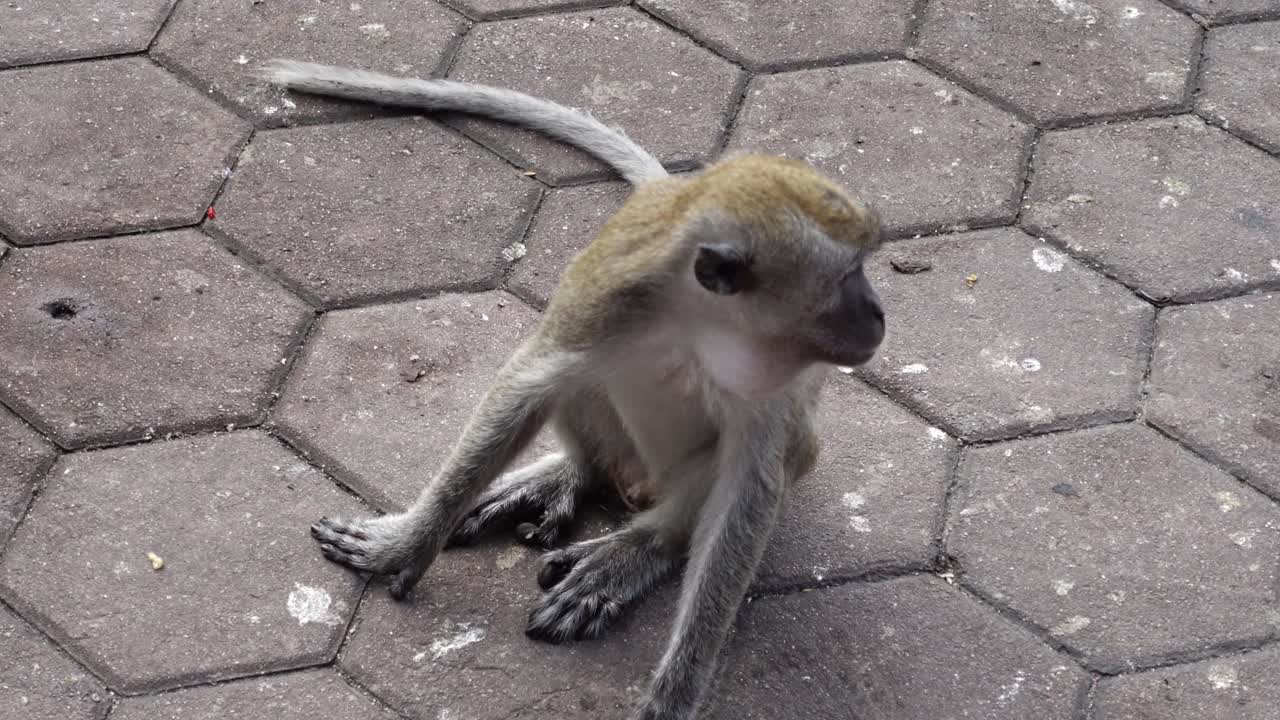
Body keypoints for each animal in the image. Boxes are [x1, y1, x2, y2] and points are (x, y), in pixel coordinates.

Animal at [259, 59, 886, 720]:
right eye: (848, 275)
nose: (877, 314)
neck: (701, 320)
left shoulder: (774, 381)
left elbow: (753, 481)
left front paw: (673, 695)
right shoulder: (606, 296)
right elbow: (529, 382)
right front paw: (406, 545)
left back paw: (641, 546)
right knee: (581, 384)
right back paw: (572, 474)